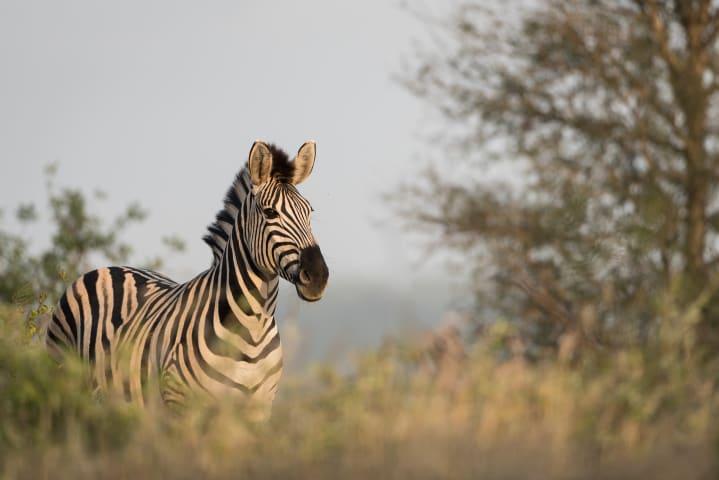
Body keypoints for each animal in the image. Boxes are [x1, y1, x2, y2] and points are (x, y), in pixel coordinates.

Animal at [42, 140, 330, 412]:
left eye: (309, 212)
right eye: (270, 213)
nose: (318, 276)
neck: (253, 328)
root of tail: (105, 268)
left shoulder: (258, 409)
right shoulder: (181, 405)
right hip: (62, 376)